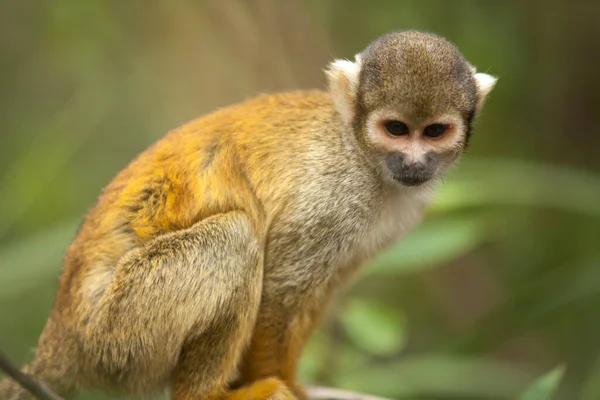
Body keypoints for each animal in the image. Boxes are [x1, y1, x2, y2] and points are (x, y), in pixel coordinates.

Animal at [0, 31, 496, 400]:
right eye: (395, 129)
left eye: (434, 132)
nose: (414, 163)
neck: (360, 153)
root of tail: (58, 342)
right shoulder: (332, 196)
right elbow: (282, 291)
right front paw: (285, 384)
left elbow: (319, 290)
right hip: (115, 334)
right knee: (235, 239)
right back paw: (208, 393)